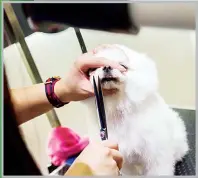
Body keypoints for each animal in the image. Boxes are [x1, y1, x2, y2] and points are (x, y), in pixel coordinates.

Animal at [82, 44, 189, 175]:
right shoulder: (121, 156)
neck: (118, 105)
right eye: (94, 68)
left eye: (123, 66)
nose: (107, 67)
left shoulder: (156, 152)